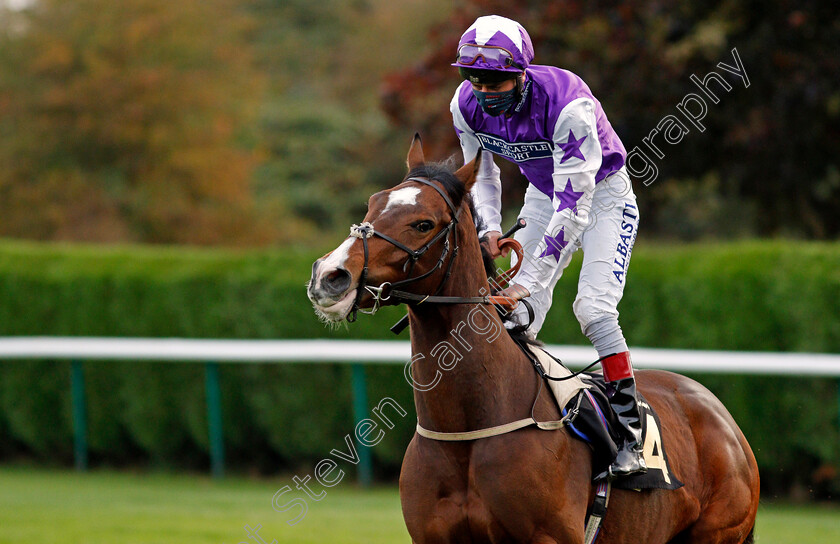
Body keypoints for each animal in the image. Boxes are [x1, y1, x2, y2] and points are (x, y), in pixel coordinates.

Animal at [308, 137, 760, 544]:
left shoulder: (552, 537)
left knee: (595, 309)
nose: (329, 276)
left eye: (423, 223)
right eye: (373, 204)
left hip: (719, 532)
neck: (469, 430)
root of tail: (722, 417)